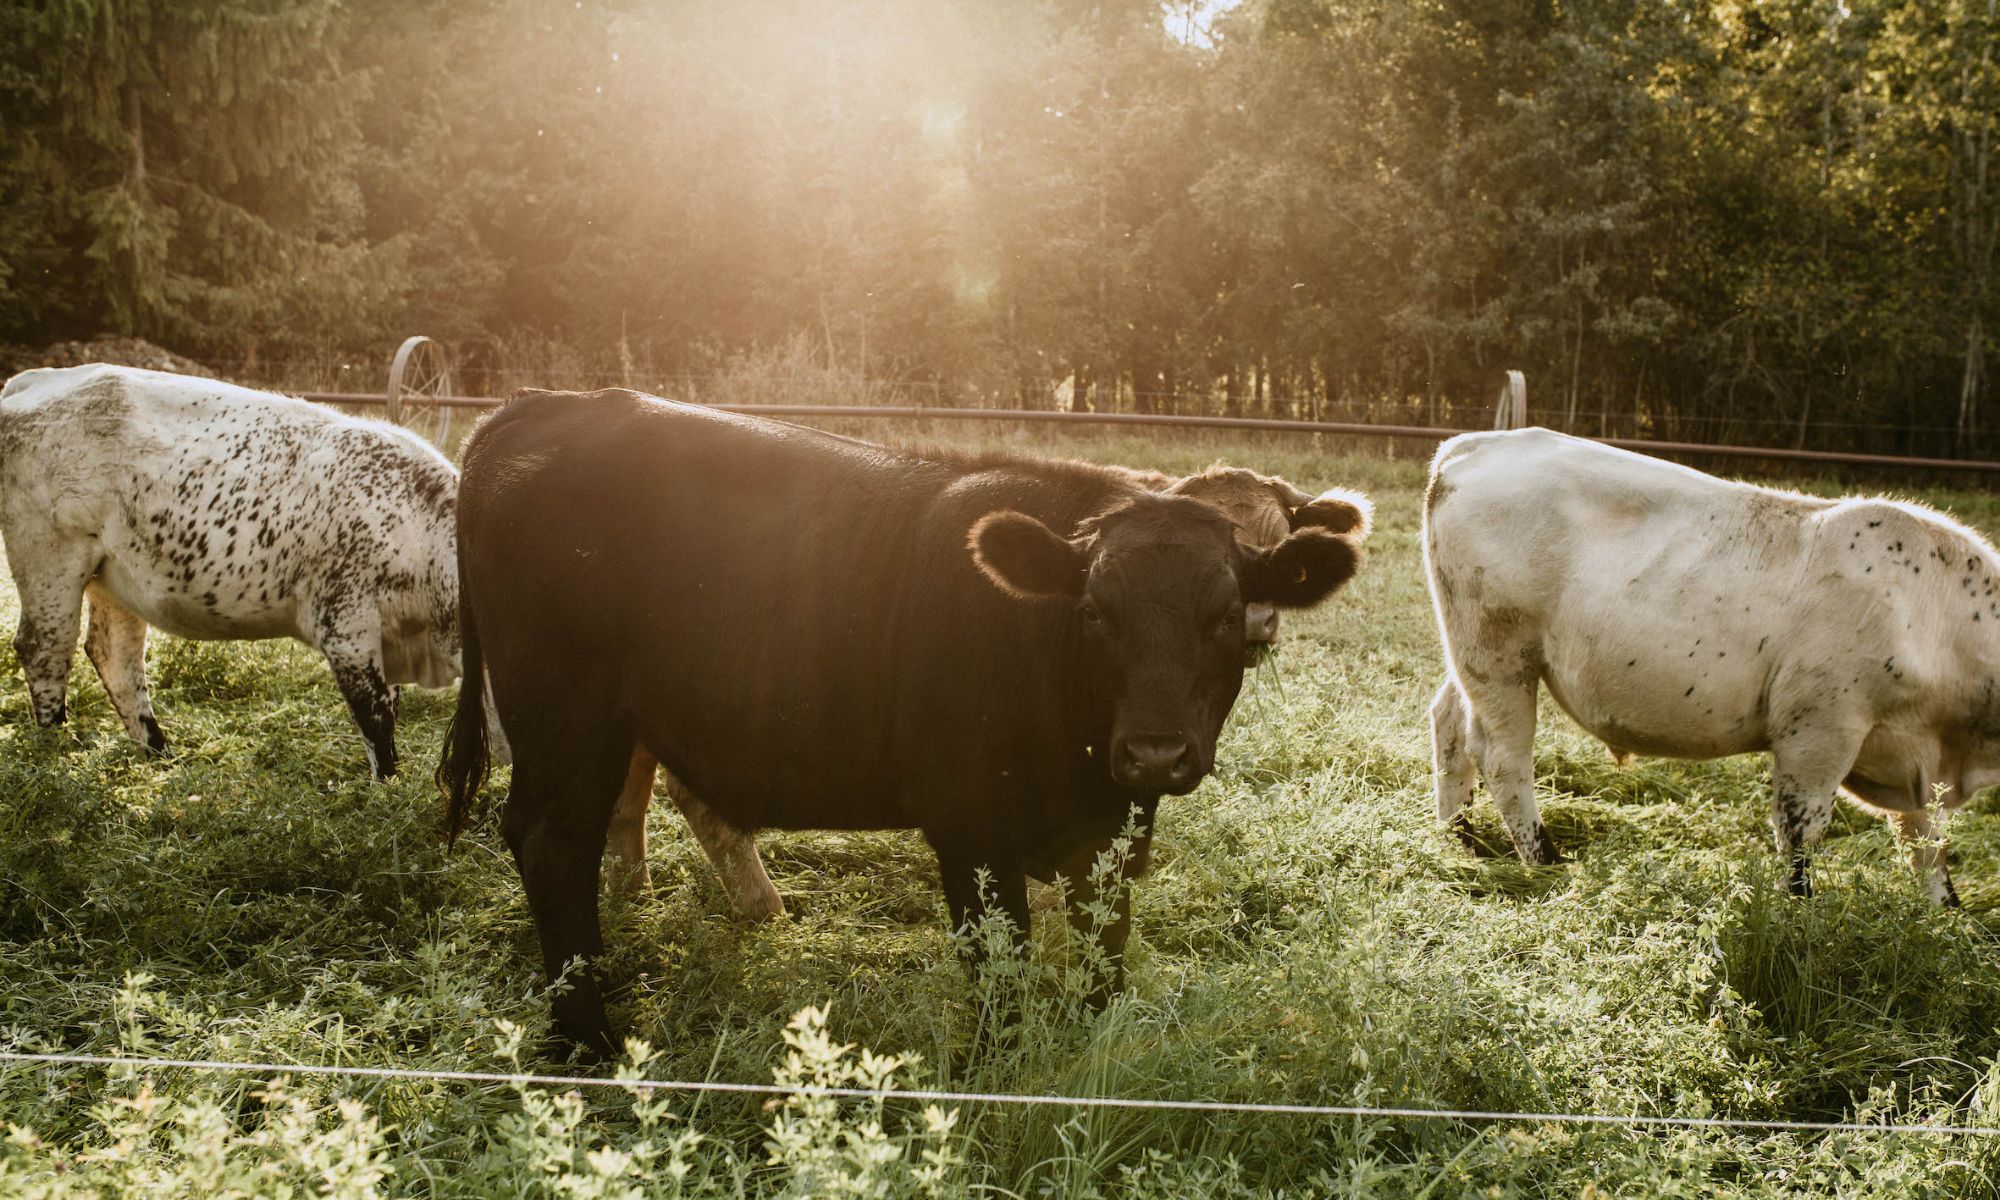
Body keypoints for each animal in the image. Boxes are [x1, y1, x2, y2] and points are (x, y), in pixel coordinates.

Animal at [0, 364, 461, 779]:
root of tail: (34, 378)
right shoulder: (345, 625)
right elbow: (376, 716)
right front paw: (388, 786)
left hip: (112, 577)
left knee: (115, 657)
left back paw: (160, 755)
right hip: (51, 559)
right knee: (44, 647)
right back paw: (54, 748)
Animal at [1424, 426, 1998, 906]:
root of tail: (1472, 444)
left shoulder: (1910, 756)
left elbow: (1928, 845)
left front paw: (1944, 918)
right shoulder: (1819, 731)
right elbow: (1802, 833)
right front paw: (1802, 916)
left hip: (1469, 658)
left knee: (1449, 723)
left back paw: (1461, 842)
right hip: (1501, 656)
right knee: (1503, 757)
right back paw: (1544, 863)